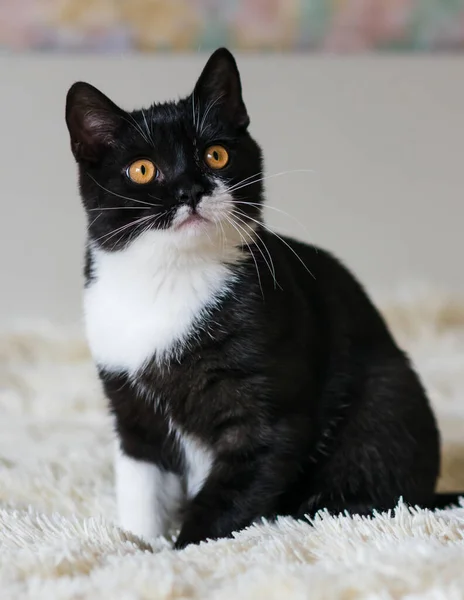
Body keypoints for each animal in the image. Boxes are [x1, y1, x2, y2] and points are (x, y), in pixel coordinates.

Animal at [65, 49, 460, 552]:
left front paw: (183, 551)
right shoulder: (130, 408)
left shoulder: (269, 415)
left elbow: (233, 489)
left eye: (216, 154)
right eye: (142, 169)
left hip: (385, 395)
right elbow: (141, 487)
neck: (171, 278)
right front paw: (136, 547)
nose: (190, 191)